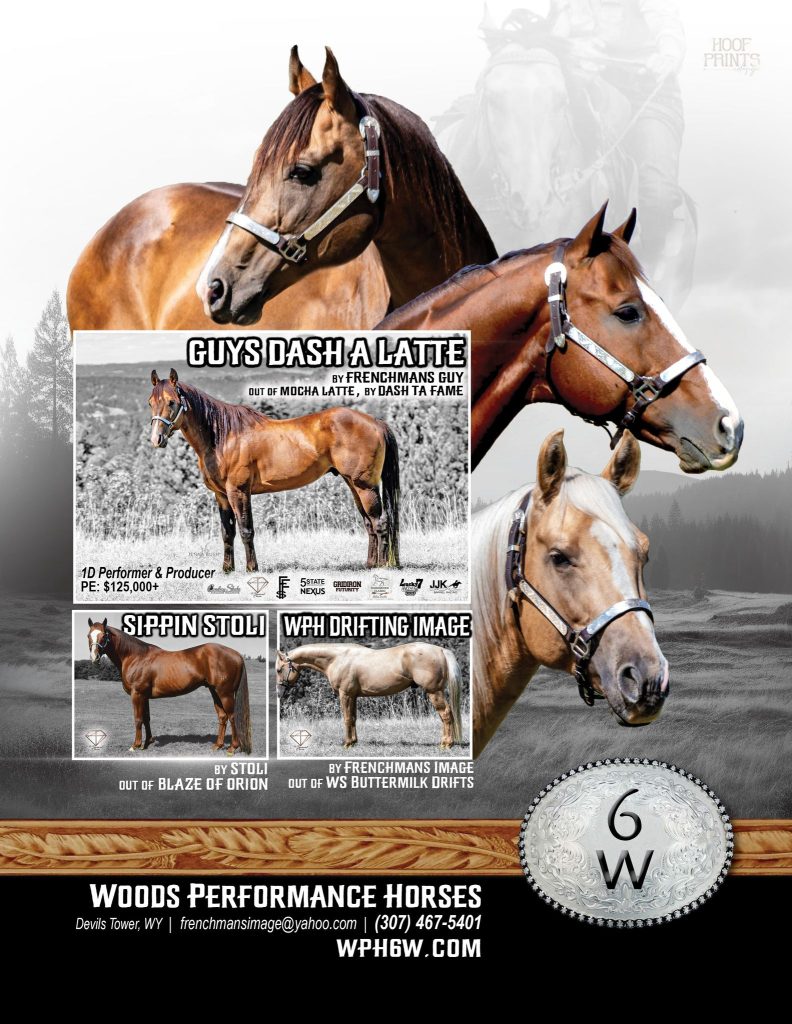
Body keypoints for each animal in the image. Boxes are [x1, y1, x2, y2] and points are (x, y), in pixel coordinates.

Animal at [86, 618, 251, 755]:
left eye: (103, 636)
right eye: (88, 636)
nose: (95, 658)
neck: (135, 656)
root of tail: (237, 654)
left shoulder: (137, 694)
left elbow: (138, 719)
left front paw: (135, 745)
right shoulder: (144, 696)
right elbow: (146, 718)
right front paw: (147, 743)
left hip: (225, 693)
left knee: (232, 716)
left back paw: (232, 747)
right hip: (214, 691)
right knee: (222, 716)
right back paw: (218, 745)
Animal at [148, 369, 400, 571]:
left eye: (171, 402)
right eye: (151, 402)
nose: (156, 439)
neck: (223, 437)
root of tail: (376, 422)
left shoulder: (239, 491)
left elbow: (246, 530)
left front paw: (252, 568)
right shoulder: (221, 496)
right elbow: (227, 532)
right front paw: (227, 569)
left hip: (365, 486)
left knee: (380, 522)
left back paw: (383, 566)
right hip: (354, 484)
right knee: (369, 523)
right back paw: (370, 564)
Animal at [275, 643, 463, 749]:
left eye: (278, 670)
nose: (279, 692)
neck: (338, 658)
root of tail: (441, 650)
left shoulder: (345, 694)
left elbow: (346, 718)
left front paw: (347, 743)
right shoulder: (353, 696)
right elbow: (353, 718)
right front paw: (354, 741)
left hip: (434, 692)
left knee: (446, 715)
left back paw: (446, 744)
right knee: (446, 716)